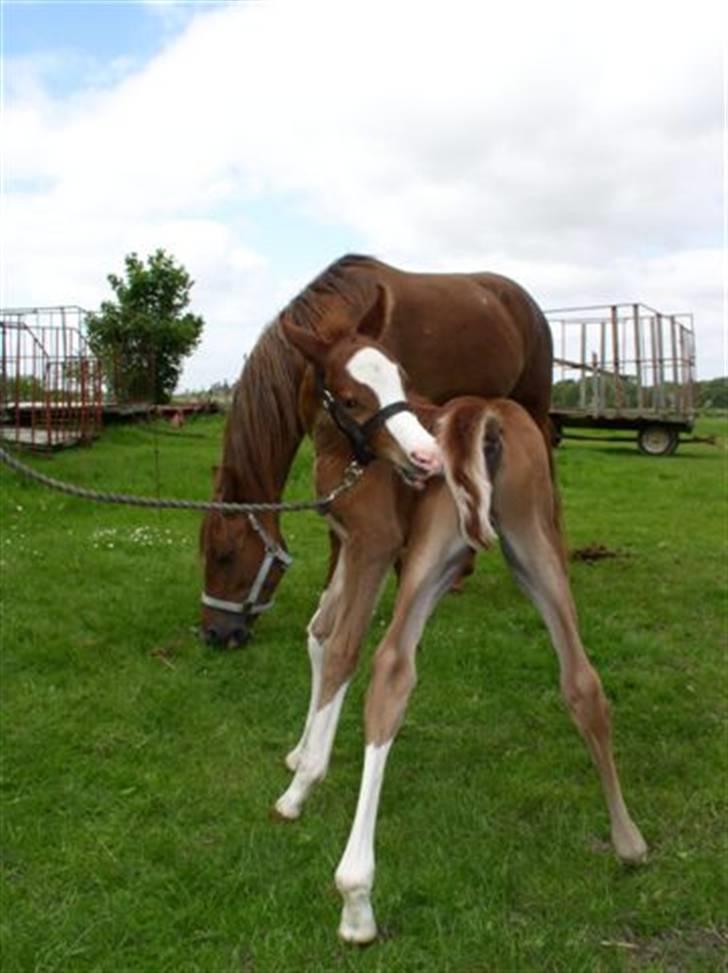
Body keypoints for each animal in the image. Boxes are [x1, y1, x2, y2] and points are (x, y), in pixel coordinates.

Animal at [274, 318, 648, 940]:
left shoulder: (374, 543)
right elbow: (318, 632)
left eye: (401, 378)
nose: (423, 456)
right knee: (582, 679)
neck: (348, 453)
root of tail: (484, 414)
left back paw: (355, 897)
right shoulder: (349, 544)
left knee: (392, 667)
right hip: (530, 547)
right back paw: (628, 841)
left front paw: (305, 780)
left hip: (433, 552)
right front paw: (302, 752)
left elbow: (343, 647)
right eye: (350, 396)